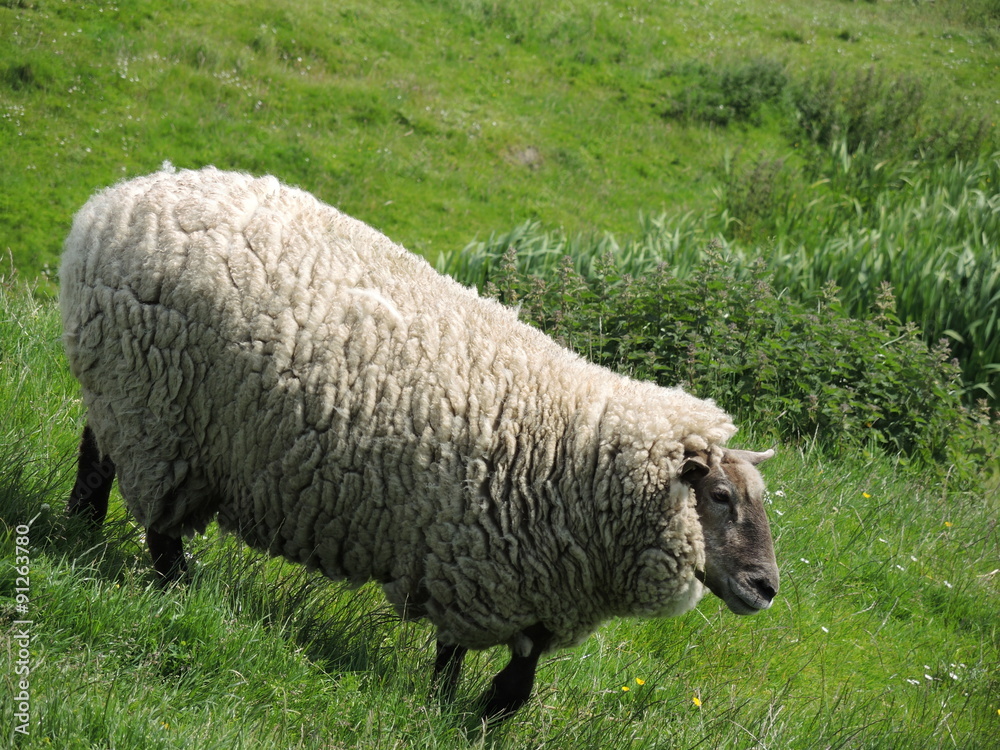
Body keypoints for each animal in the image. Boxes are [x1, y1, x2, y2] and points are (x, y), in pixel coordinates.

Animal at [61, 166, 779, 722]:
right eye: (719, 495)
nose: (767, 588)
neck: (577, 459)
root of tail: (114, 201)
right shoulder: (472, 559)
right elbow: (454, 654)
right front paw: (441, 708)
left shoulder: (533, 581)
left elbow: (520, 675)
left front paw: (487, 714)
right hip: (159, 411)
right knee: (157, 521)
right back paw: (179, 588)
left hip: (127, 392)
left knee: (97, 454)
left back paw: (82, 526)